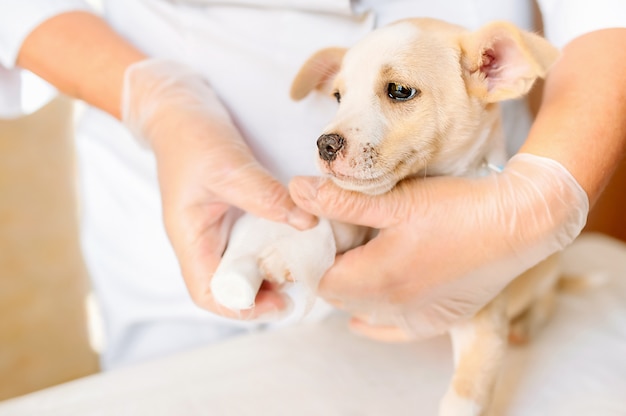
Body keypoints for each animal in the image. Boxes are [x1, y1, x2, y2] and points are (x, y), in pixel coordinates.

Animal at [212, 18, 560, 416]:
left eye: (399, 91)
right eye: (338, 97)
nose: (324, 145)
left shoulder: (482, 326)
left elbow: (464, 397)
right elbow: (342, 227)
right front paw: (291, 252)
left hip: (548, 272)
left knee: (546, 301)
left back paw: (526, 326)